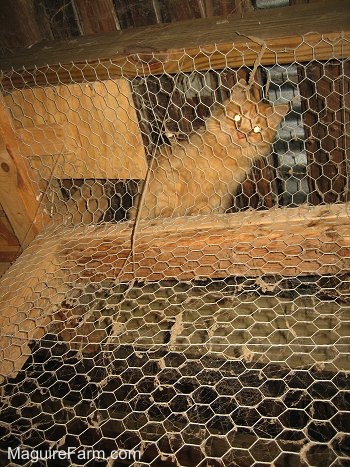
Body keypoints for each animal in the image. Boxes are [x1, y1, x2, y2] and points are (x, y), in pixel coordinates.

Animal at [130, 79, 288, 220]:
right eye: (237, 118)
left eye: (256, 129)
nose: (241, 135)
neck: (223, 155)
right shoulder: (174, 174)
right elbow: (168, 199)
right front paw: (166, 215)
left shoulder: (219, 194)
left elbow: (203, 207)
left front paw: (195, 214)